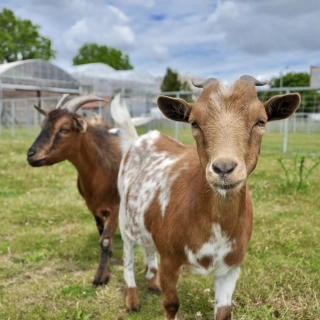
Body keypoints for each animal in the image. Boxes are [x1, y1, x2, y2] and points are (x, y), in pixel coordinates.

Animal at [26, 94, 120, 284]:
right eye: (42, 126)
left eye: (64, 129)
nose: (31, 155)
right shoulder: (93, 207)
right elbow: (101, 233)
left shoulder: (114, 207)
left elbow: (105, 240)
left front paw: (101, 276)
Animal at [110, 77, 300, 320]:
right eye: (194, 123)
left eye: (261, 121)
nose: (224, 168)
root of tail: (139, 138)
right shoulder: (170, 260)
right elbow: (171, 304)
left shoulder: (231, 267)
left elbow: (224, 312)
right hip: (125, 220)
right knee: (128, 257)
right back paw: (132, 299)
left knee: (148, 246)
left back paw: (152, 284)